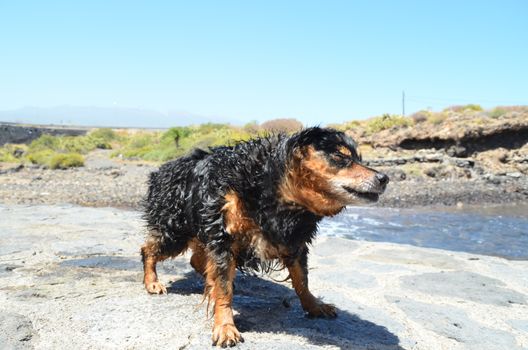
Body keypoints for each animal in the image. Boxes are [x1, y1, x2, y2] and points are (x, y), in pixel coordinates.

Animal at [140, 126, 388, 348]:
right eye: (339, 157)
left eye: (358, 158)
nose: (384, 177)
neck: (271, 188)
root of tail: (160, 171)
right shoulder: (223, 237)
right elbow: (223, 288)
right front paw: (225, 327)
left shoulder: (293, 240)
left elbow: (302, 279)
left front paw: (314, 305)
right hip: (176, 231)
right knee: (148, 250)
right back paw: (153, 282)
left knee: (196, 260)